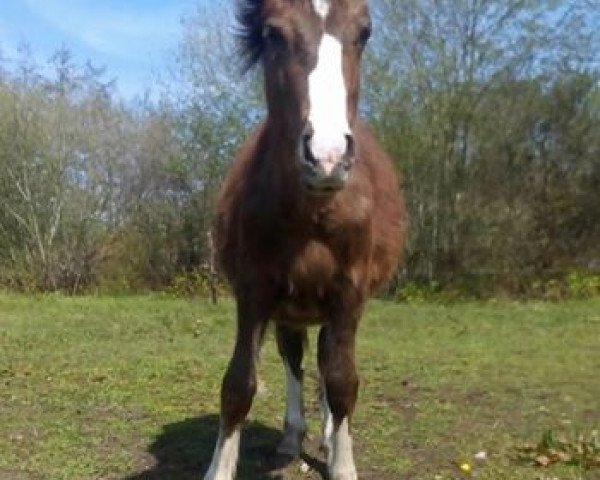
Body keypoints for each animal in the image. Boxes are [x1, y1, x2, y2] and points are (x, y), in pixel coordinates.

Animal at [204, 0, 406, 480]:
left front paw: (342, 464)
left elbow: (343, 381)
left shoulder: (349, 293)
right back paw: (291, 438)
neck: (312, 211)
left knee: (328, 362)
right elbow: (238, 385)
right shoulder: (254, 291)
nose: (327, 158)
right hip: (292, 310)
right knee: (296, 359)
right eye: (273, 34)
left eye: (365, 32)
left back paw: (331, 438)